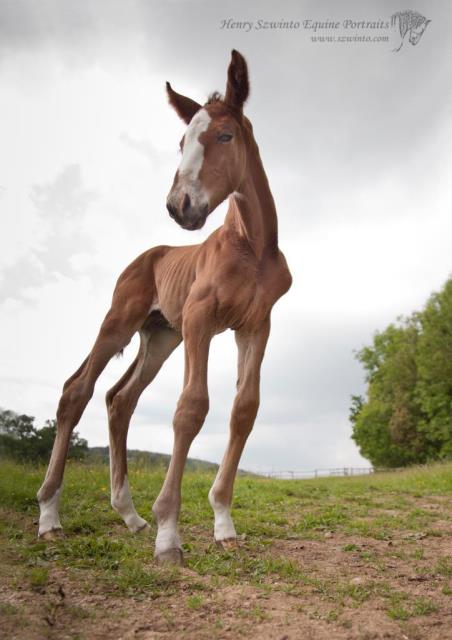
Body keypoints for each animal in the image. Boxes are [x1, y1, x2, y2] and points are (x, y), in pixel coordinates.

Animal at [38, 50, 294, 564]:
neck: (251, 248)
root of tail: (147, 255)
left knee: (120, 399)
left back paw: (129, 515)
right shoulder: (200, 319)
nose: (181, 206)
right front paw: (169, 535)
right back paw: (49, 515)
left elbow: (244, 409)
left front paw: (223, 523)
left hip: (159, 337)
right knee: (77, 390)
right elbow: (191, 408)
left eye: (225, 135)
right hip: (120, 321)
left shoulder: (255, 325)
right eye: (181, 141)